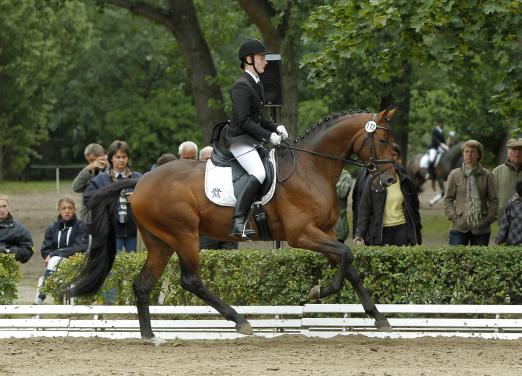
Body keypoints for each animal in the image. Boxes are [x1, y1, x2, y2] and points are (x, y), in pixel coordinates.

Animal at [69, 108, 394, 340]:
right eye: (383, 140)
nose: (390, 179)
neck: (310, 168)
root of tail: (140, 182)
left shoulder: (324, 233)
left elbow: (349, 266)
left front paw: (379, 318)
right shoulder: (302, 235)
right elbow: (346, 257)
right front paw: (318, 292)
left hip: (160, 242)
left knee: (143, 284)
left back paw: (149, 336)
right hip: (184, 235)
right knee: (191, 280)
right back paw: (240, 321)